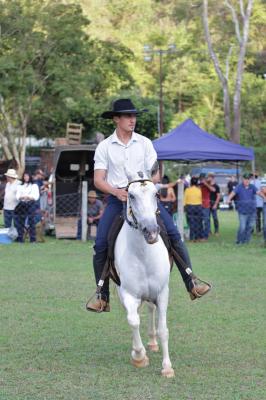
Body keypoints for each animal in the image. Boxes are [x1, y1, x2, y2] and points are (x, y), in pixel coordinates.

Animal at [114, 172, 175, 378]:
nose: (151, 232)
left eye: (156, 194)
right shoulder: (128, 293)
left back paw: (153, 342)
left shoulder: (162, 292)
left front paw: (167, 367)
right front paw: (139, 356)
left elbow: (163, 329)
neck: (143, 255)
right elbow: (133, 321)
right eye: (131, 196)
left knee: (150, 309)